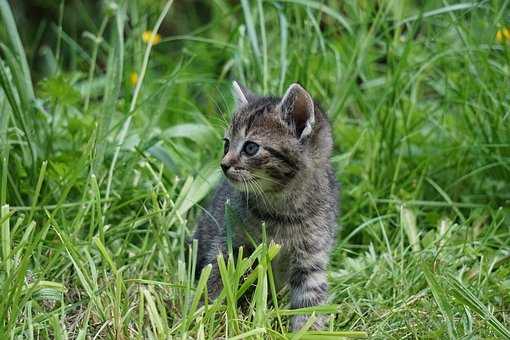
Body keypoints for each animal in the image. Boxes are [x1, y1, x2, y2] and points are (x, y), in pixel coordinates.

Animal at [191, 81, 338, 330]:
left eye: (250, 148)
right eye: (226, 144)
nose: (223, 164)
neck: (281, 211)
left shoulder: (311, 259)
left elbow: (310, 304)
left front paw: (307, 331)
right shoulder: (230, 244)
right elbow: (216, 282)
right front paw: (205, 318)